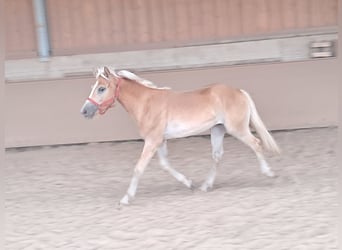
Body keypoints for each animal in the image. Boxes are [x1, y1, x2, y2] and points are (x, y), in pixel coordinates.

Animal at [81, 66, 280, 205]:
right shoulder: (159, 141)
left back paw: (270, 173)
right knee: (217, 156)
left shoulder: (152, 141)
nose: (84, 111)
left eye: (101, 88)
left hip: (237, 129)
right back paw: (205, 186)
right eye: (93, 87)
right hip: (217, 130)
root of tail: (239, 91)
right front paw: (189, 183)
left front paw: (126, 198)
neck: (146, 104)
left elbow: (139, 168)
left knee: (256, 143)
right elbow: (165, 165)